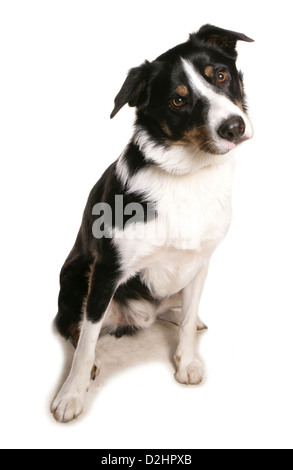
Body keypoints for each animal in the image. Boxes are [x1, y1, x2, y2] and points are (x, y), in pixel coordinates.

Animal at [52, 24, 253, 422]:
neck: (188, 174)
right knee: (73, 325)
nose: (234, 127)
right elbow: (86, 341)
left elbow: (187, 321)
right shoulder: (107, 270)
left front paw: (186, 361)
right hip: (75, 275)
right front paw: (72, 394)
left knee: (175, 310)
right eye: (178, 101)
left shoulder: (200, 262)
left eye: (221, 76)